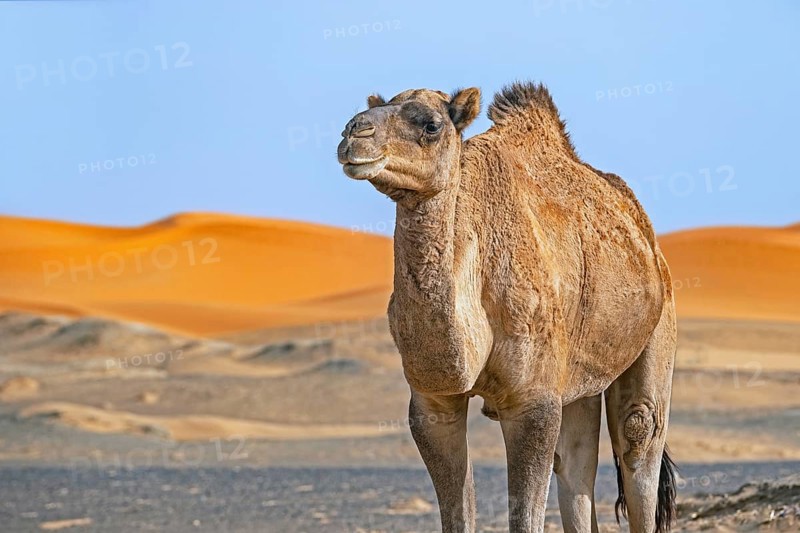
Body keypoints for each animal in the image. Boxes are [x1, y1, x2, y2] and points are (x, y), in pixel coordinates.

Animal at [337, 82, 677, 533]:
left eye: (431, 125)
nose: (353, 132)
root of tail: (648, 239)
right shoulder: (432, 405)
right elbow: (458, 514)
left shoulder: (532, 401)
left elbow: (526, 515)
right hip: (577, 377)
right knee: (575, 460)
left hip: (659, 322)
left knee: (638, 431)